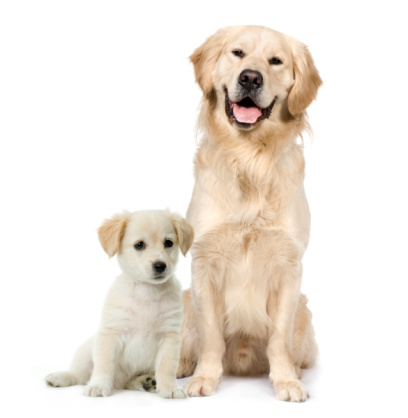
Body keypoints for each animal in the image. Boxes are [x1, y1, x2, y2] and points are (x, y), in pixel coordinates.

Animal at [45, 209, 195, 398]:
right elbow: (104, 364)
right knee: (79, 374)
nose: (160, 265)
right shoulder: (111, 333)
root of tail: (119, 383)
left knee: (130, 382)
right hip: (86, 351)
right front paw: (99, 386)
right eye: (139, 245)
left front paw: (170, 388)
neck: (147, 291)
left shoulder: (170, 337)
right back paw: (61, 377)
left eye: (168, 243)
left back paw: (147, 381)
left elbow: (166, 367)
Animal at [178, 26, 322, 402]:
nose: (251, 78)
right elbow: (211, 336)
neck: (249, 158)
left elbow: (279, 340)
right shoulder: (204, 263)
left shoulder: (289, 267)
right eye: (237, 53)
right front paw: (204, 377)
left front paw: (286, 381)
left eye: (276, 61)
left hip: (305, 309)